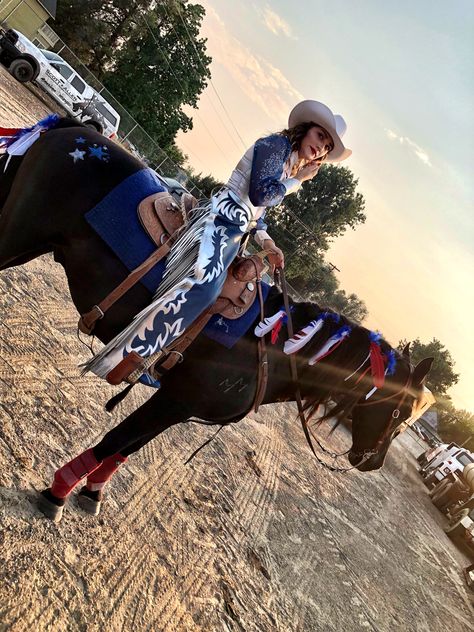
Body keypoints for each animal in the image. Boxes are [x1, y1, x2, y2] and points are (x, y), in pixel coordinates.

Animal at [0, 122, 432, 520]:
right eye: (399, 413)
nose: (371, 461)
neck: (271, 347)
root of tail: (73, 127)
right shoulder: (176, 399)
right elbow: (115, 440)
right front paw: (57, 492)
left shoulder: (177, 404)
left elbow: (128, 447)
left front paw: (93, 492)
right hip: (17, 235)